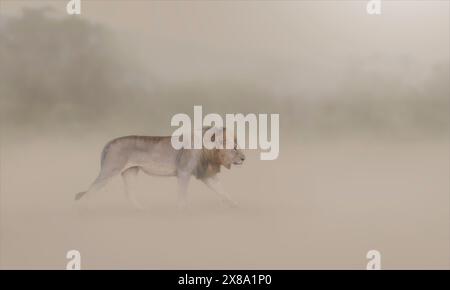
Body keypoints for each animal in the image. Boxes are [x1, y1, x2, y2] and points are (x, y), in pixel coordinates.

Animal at [77, 127, 246, 208]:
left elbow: (222, 191)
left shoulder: (206, 174)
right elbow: (182, 194)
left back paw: (143, 211)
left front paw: (235, 205)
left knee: (129, 194)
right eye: (234, 148)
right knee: (90, 191)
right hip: (110, 170)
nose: (244, 158)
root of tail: (108, 142)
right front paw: (183, 209)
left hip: (130, 172)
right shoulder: (184, 172)